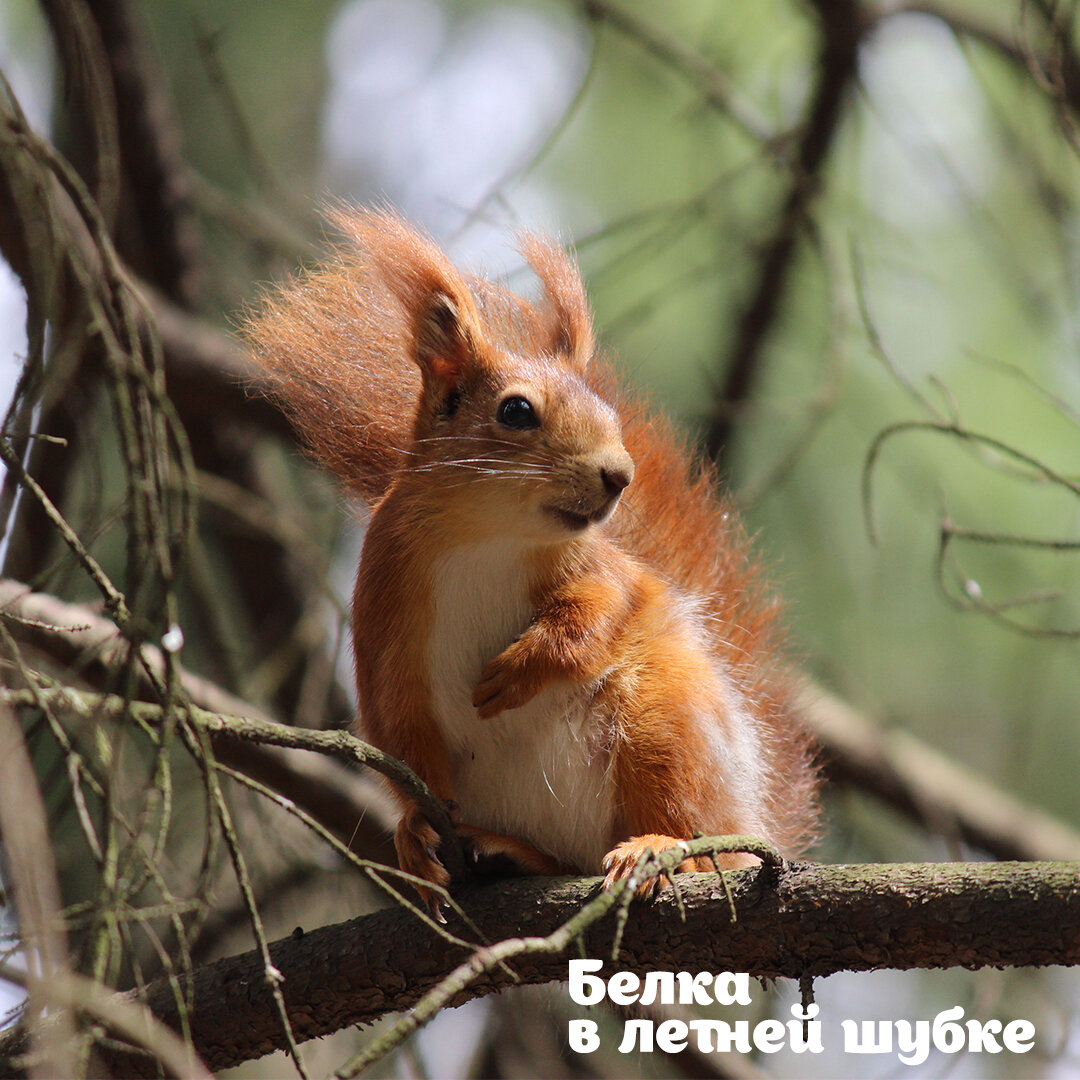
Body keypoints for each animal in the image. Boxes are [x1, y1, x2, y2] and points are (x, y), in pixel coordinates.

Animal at [243, 206, 816, 907]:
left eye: (609, 412)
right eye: (515, 411)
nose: (620, 474)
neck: (488, 538)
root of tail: (748, 813)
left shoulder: (603, 571)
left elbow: (605, 608)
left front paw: (524, 667)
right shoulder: (383, 598)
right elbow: (397, 728)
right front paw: (413, 831)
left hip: (662, 719)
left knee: (693, 830)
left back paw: (658, 848)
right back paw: (509, 853)